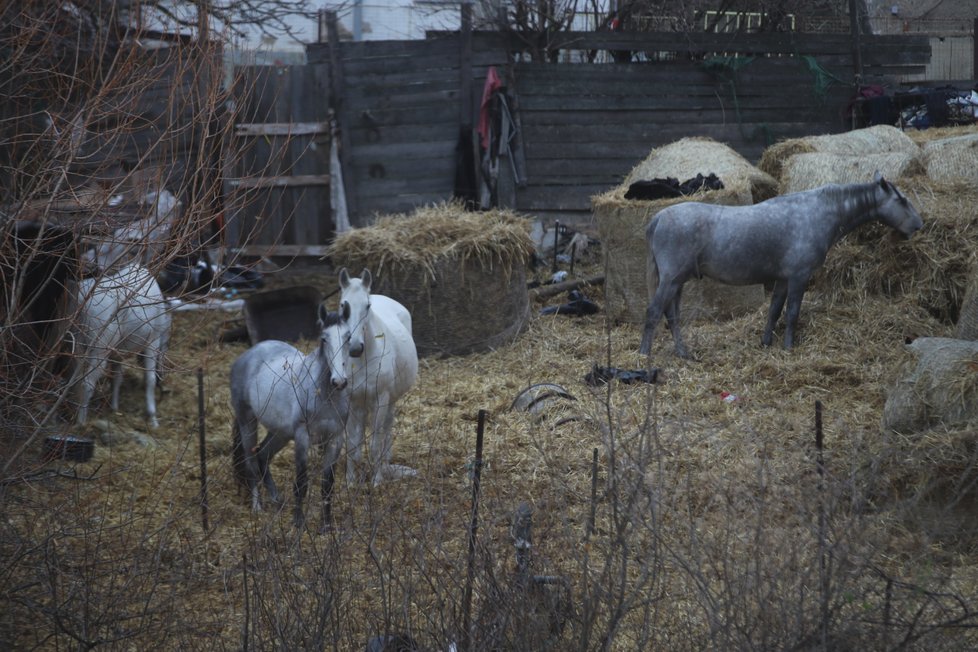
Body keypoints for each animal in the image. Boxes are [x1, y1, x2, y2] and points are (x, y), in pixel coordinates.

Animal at [229, 308, 350, 532]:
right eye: (324, 338)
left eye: (348, 337)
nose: (339, 381)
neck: (324, 394)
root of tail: (246, 356)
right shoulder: (302, 437)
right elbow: (301, 482)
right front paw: (298, 523)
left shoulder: (335, 438)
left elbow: (327, 484)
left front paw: (326, 526)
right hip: (247, 421)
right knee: (251, 461)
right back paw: (257, 507)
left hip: (281, 433)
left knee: (262, 455)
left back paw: (276, 499)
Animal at [338, 268, 418, 486]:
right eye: (343, 306)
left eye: (367, 306)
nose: (355, 348)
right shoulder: (352, 402)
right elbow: (353, 446)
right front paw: (350, 482)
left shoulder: (381, 399)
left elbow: (374, 443)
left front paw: (376, 482)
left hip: (390, 401)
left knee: (387, 429)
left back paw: (385, 463)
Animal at [640, 173, 924, 356]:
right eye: (901, 200)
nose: (919, 225)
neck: (819, 212)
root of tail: (658, 218)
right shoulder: (799, 277)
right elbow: (792, 313)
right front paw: (789, 347)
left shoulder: (783, 279)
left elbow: (774, 311)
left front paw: (766, 343)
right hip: (671, 280)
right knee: (654, 312)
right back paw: (645, 354)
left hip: (677, 282)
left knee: (672, 316)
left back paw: (683, 352)